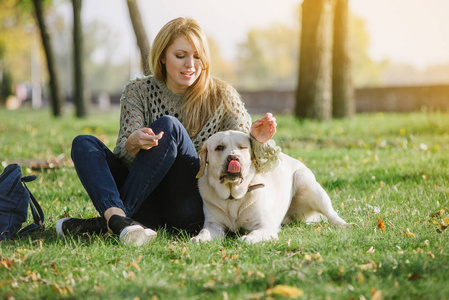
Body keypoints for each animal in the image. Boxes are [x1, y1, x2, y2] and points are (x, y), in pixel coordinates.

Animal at [190, 130, 350, 243]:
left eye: (243, 147)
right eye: (219, 147)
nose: (233, 157)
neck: (232, 196)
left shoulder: (265, 224)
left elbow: (252, 235)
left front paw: (248, 238)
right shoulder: (214, 224)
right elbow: (205, 232)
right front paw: (199, 238)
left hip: (306, 182)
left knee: (332, 214)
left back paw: (345, 225)